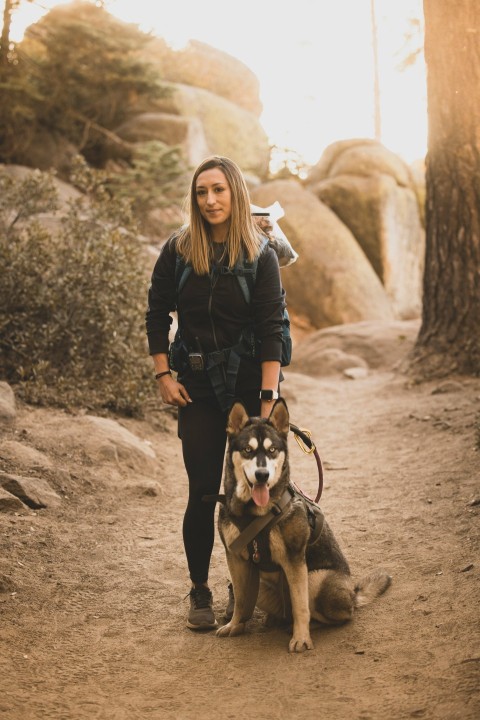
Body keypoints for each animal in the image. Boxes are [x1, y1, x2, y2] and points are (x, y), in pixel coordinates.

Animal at [216, 400, 392, 652]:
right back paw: (275, 620)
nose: (262, 474)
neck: (252, 511)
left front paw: (301, 638)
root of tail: (353, 593)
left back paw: (307, 626)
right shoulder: (236, 558)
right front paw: (235, 625)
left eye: (272, 450)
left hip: (315, 579)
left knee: (338, 615)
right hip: (262, 585)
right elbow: (241, 599)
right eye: (248, 450)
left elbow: (300, 606)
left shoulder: (294, 559)